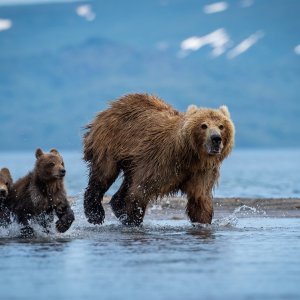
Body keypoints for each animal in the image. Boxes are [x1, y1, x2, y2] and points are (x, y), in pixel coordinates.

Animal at [83, 94, 236, 225]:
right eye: (203, 125)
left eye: (221, 126)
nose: (216, 138)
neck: (189, 156)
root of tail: (111, 107)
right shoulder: (161, 162)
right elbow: (140, 190)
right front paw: (133, 221)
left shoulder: (201, 171)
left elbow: (200, 198)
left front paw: (203, 222)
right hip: (110, 142)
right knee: (103, 174)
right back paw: (95, 214)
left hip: (131, 160)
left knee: (127, 181)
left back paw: (117, 207)